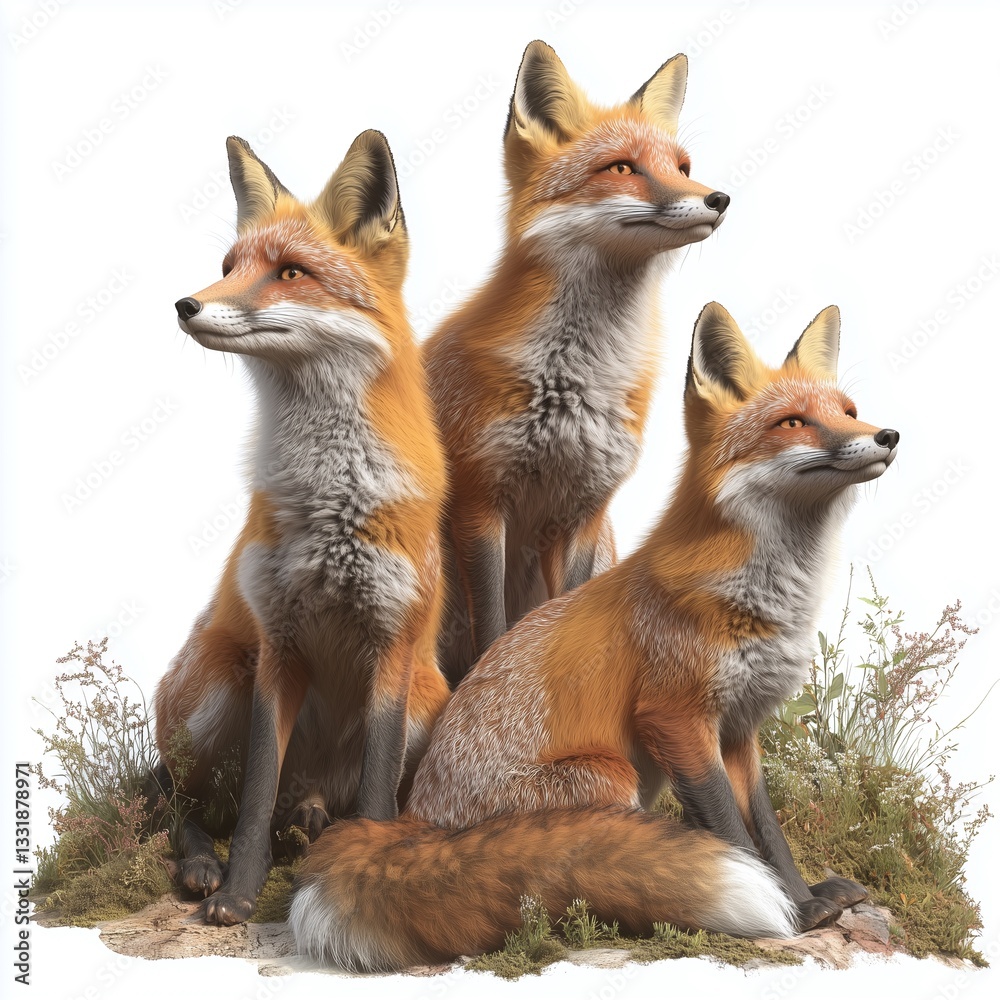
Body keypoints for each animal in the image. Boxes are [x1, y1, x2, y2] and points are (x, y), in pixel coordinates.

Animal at [151, 130, 451, 926]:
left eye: (290, 272)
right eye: (230, 267)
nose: (186, 304)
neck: (332, 504)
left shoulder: (392, 644)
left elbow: (376, 794)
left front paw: (365, 874)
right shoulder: (277, 645)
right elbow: (256, 795)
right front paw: (238, 893)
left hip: (428, 700)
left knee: (321, 798)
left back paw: (311, 822)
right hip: (215, 690)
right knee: (179, 802)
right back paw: (203, 862)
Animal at [288, 302, 900, 970]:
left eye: (849, 411)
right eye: (793, 423)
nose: (888, 435)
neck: (769, 602)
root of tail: (415, 822)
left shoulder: (741, 728)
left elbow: (767, 828)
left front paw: (805, 898)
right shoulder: (675, 716)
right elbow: (732, 830)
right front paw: (791, 912)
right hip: (612, 775)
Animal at [424, 40, 732, 683]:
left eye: (682, 166)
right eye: (621, 168)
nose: (718, 199)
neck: (573, 382)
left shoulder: (585, 511)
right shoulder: (481, 503)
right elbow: (493, 629)